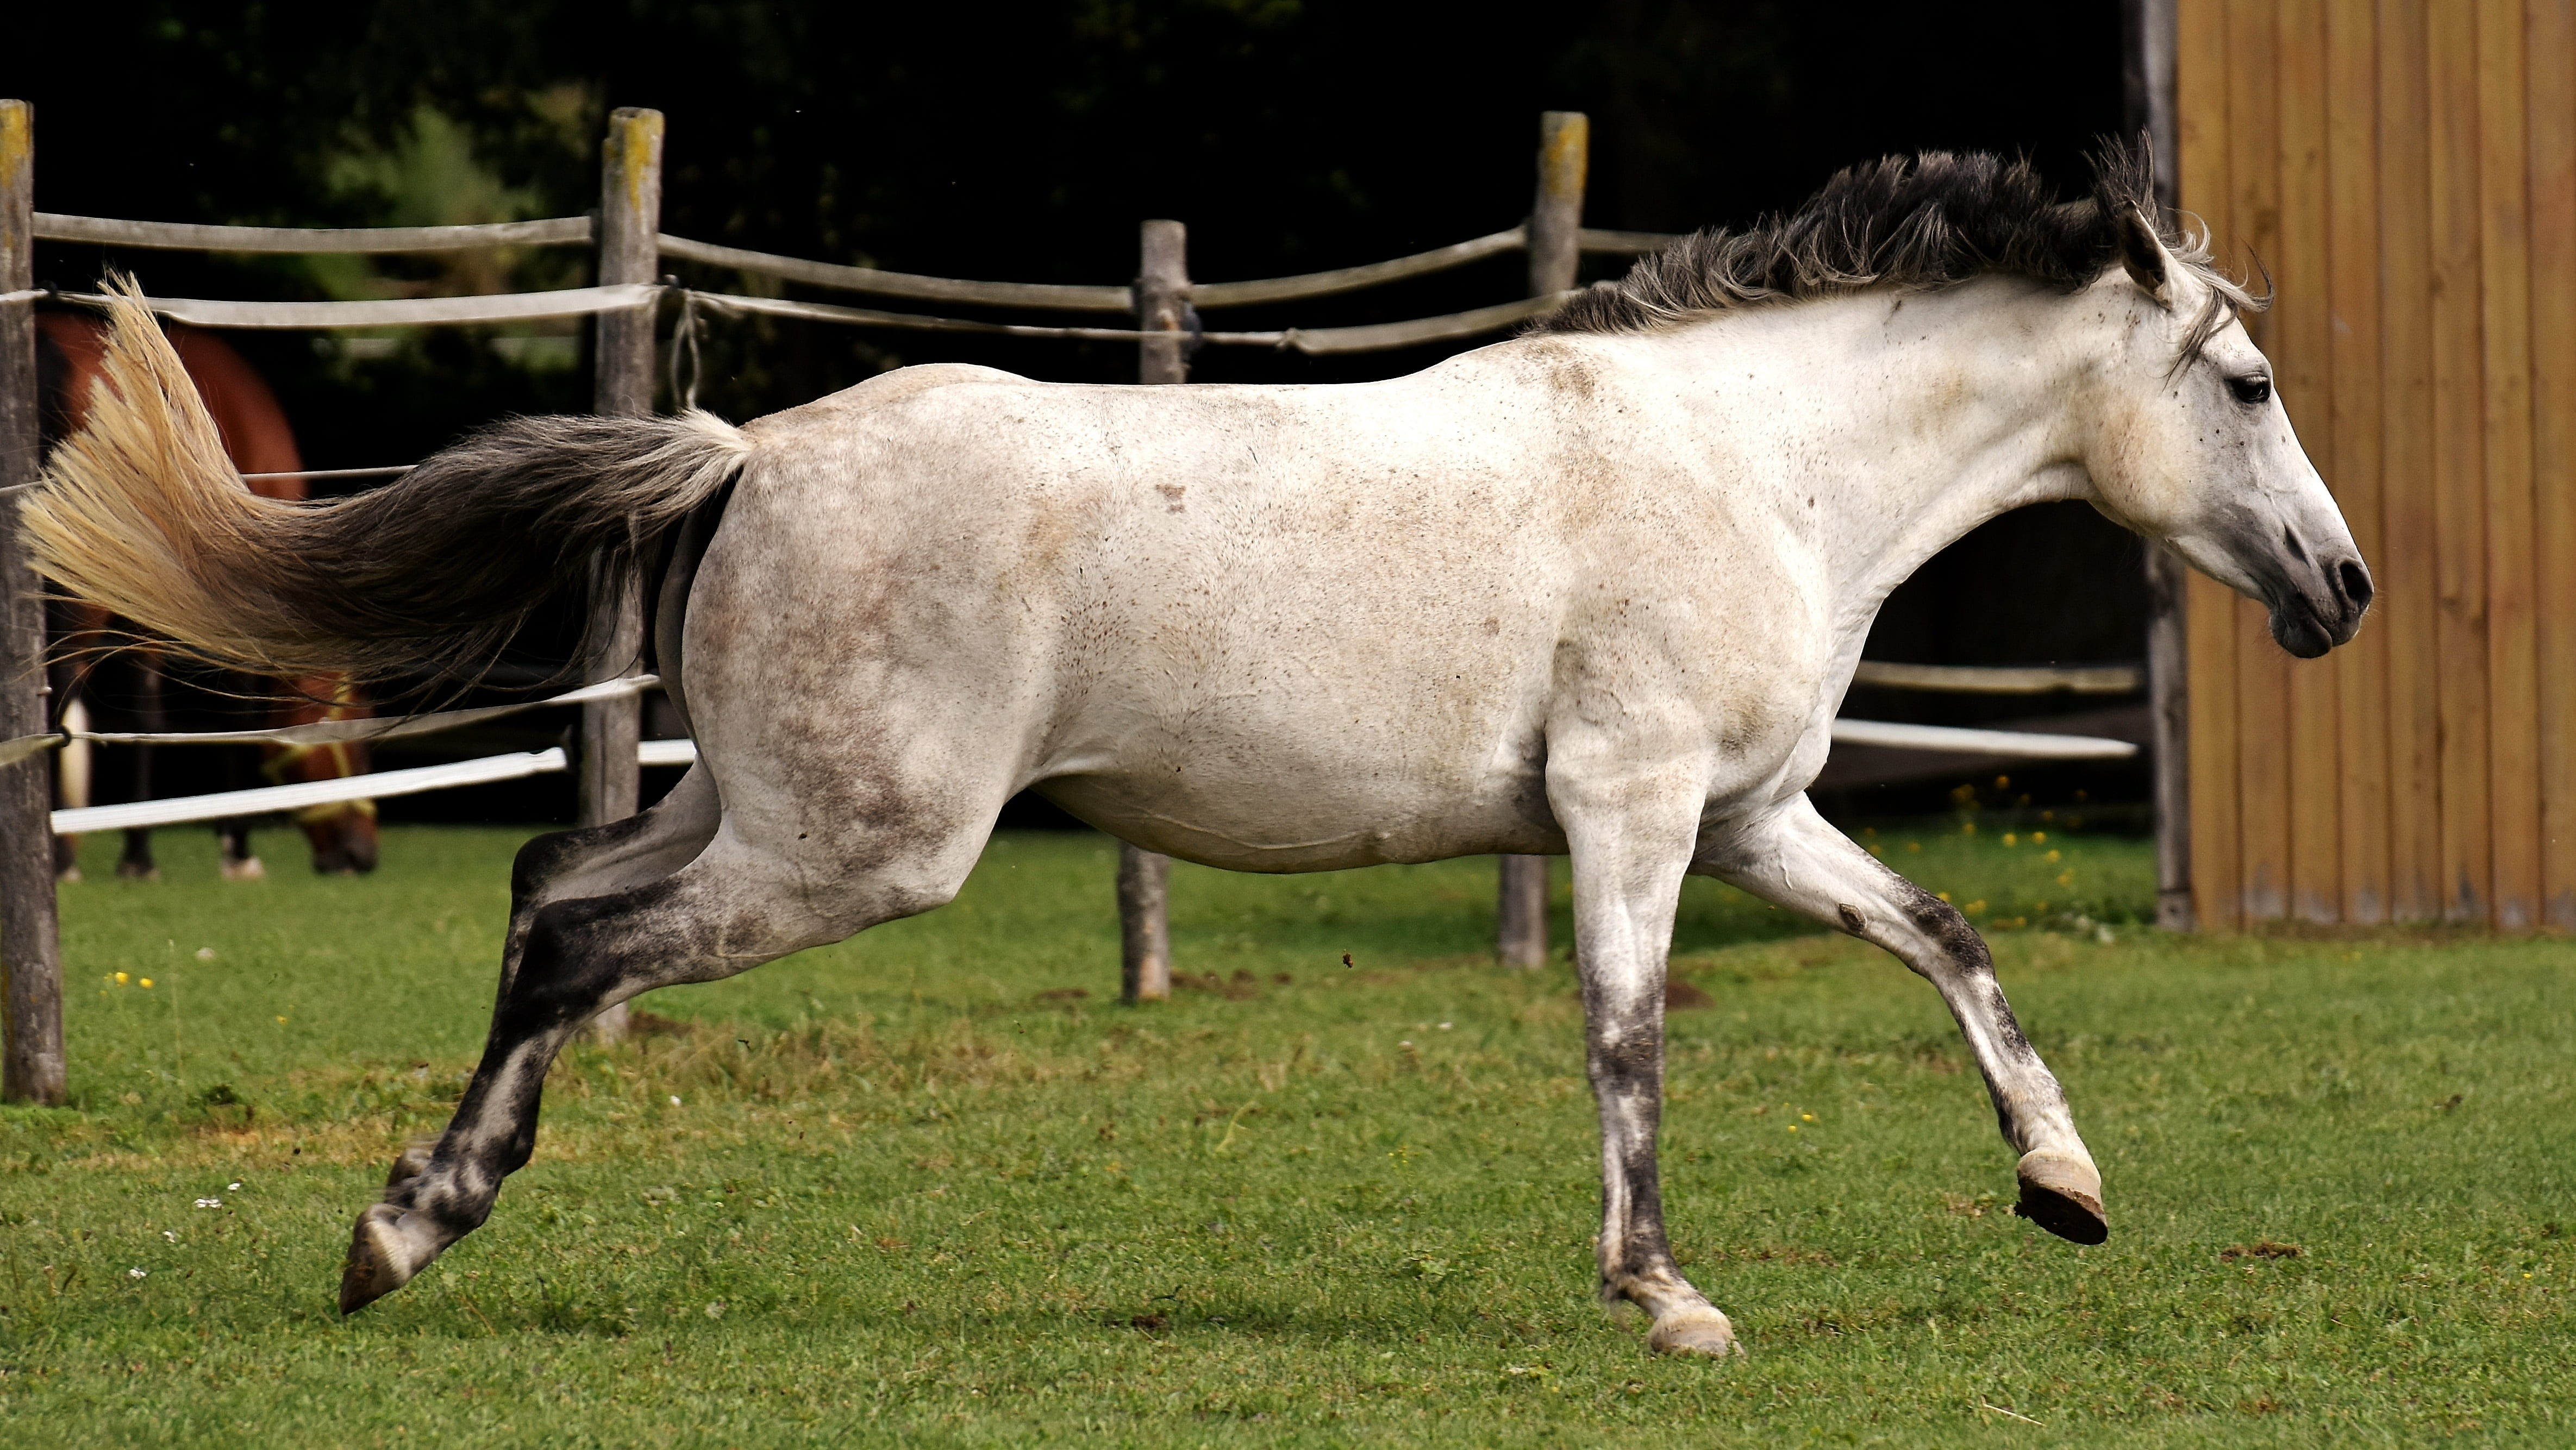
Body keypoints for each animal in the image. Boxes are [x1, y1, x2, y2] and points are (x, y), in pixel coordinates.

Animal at [35, 312, 379, 879]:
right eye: (359, 733)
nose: (362, 854)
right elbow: (223, 720)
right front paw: (233, 848)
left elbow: (146, 718)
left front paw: (138, 850)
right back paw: (61, 853)